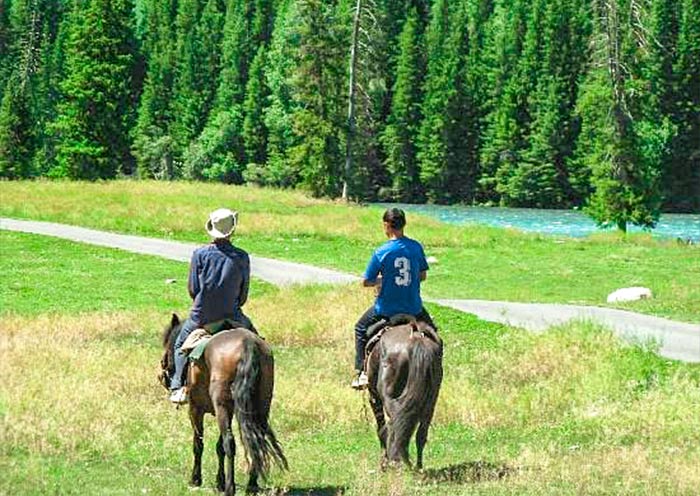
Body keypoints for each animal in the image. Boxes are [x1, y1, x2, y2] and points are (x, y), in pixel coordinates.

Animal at [159, 316, 288, 494]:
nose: (162, 376)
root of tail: (248, 344)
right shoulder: (230, 410)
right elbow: (218, 447)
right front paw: (219, 481)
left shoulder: (195, 409)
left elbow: (198, 443)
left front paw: (196, 479)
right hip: (260, 404)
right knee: (254, 438)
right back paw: (251, 484)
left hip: (221, 406)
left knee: (229, 442)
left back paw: (230, 487)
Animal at [366, 316, 442, 470]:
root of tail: (416, 337)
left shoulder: (373, 396)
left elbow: (381, 429)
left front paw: (383, 463)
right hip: (431, 400)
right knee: (421, 433)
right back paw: (417, 466)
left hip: (389, 397)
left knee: (393, 425)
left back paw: (395, 460)